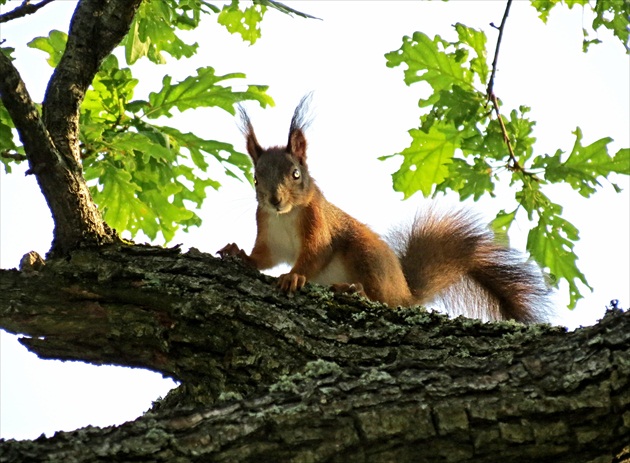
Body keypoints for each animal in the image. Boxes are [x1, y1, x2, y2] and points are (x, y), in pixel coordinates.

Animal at [218, 96, 552, 324]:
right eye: (256, 178)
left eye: (296, 174)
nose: (275, 200)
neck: (286, 217)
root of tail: (406, 291)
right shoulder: (268, 232)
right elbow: (264, 258)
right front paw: (239, 254)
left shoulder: (318, 224)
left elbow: (315, 254)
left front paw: (294, 277)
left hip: (367, 257)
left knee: (385, 301)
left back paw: (356, 291)